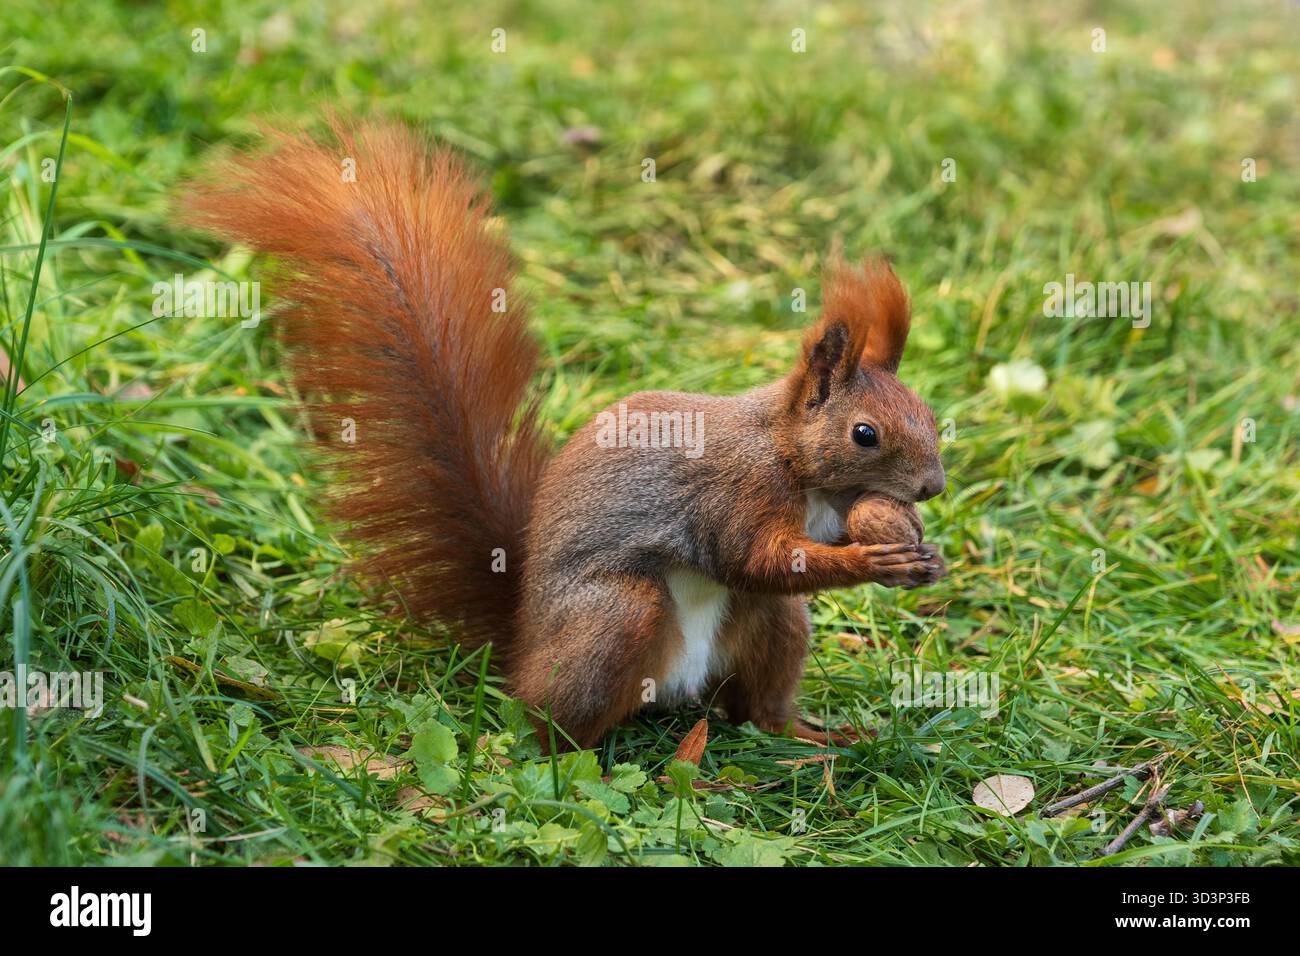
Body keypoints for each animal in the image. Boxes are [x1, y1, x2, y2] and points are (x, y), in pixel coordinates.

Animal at [188, 121, 947, 751]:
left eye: (930, 413)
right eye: (865, 434)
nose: (933, 487)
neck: (793, 461)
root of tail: (523, 641)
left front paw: (923, 555)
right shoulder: (733, 495)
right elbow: (753, 558)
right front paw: (872, 559)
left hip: (768, 629)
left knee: (756, 705)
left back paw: (811, 737)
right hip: (616, 616)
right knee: (551, 720)